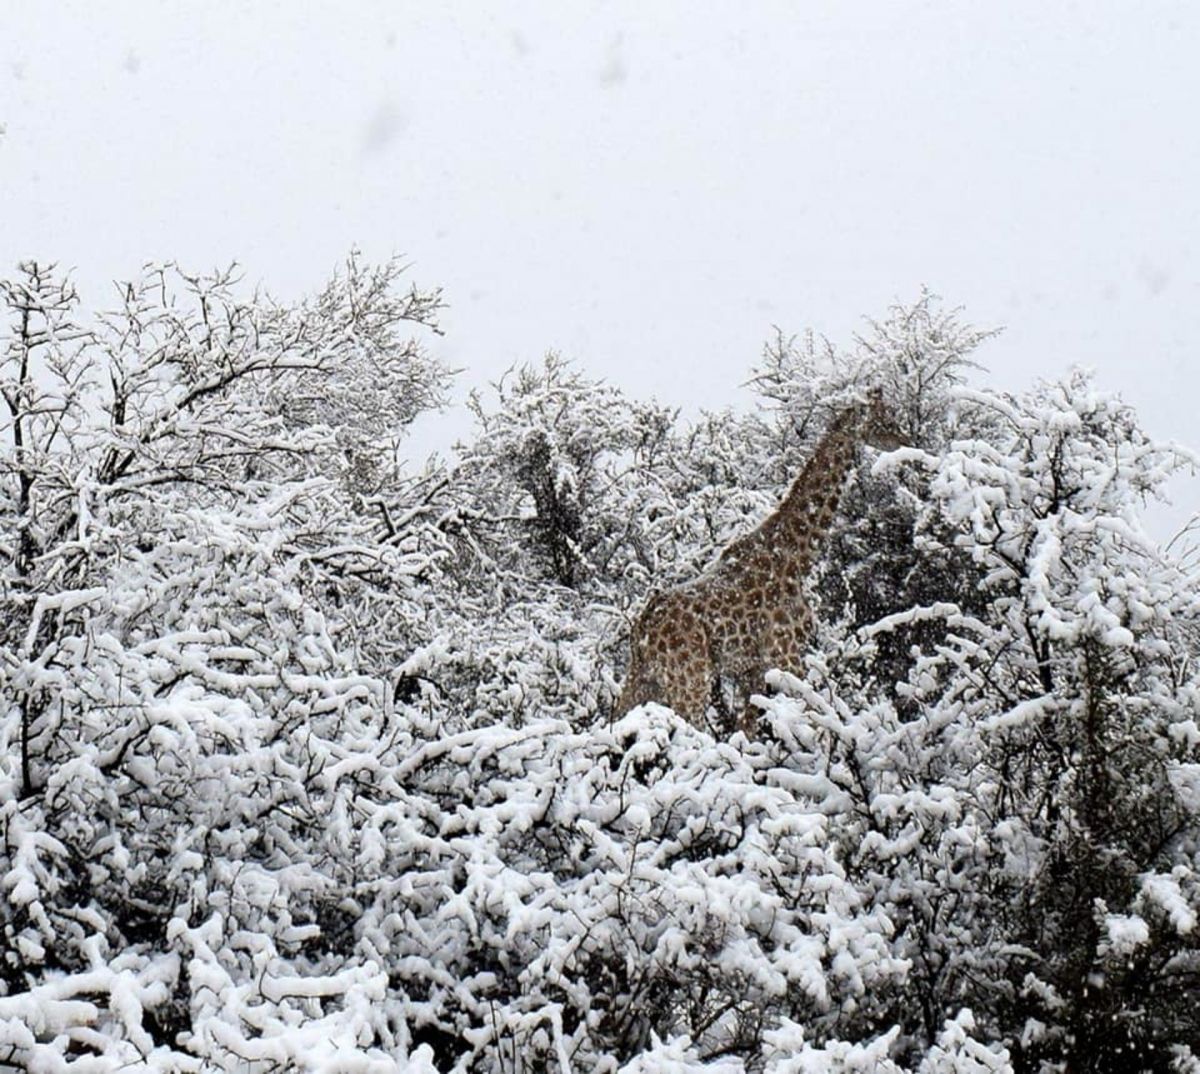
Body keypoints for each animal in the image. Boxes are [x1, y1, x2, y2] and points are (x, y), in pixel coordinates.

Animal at [614, 393, 902, 739]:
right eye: (884, 419)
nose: (904, 439)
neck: (797, 559)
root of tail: (642, 626)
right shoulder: (785, 653)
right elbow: (806, 716)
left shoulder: (749, 669)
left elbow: (747, 732)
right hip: (689, 677)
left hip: (645, 678)